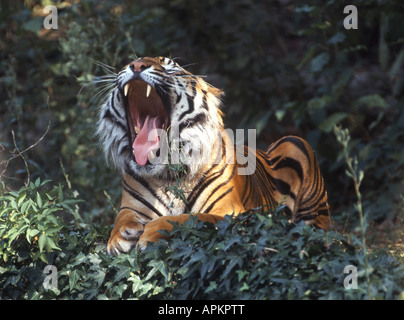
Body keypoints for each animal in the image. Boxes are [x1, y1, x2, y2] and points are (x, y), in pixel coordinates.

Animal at [96, 55, 330, 255]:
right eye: (130, 62)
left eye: (170, 65)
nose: (136, 65)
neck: (167, 177)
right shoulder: (130, 205)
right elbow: (122, 217)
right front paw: (120, 236)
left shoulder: (231, 213)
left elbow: (189, 218)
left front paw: (152, 231)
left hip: (296, 145)